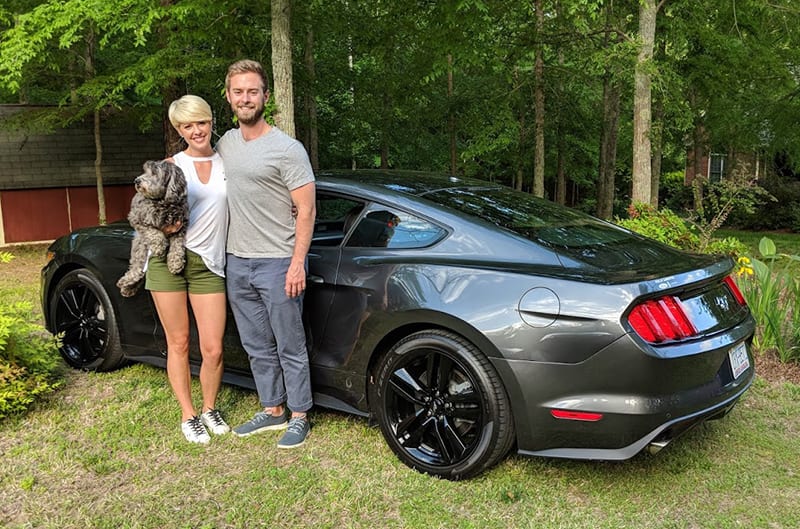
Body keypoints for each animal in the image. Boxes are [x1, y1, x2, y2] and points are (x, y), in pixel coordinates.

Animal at [115, 159, 189, 296]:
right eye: (145, 171)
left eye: (154, 173)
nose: (137, 180)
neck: (163, 202)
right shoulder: (136, 219)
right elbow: (153, 232)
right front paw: (159, 247)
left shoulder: (181, 226)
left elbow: (177, 245)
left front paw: (175, 263)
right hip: (140, 247)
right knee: (136, 269)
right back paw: (125, 283)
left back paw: (129, 287)